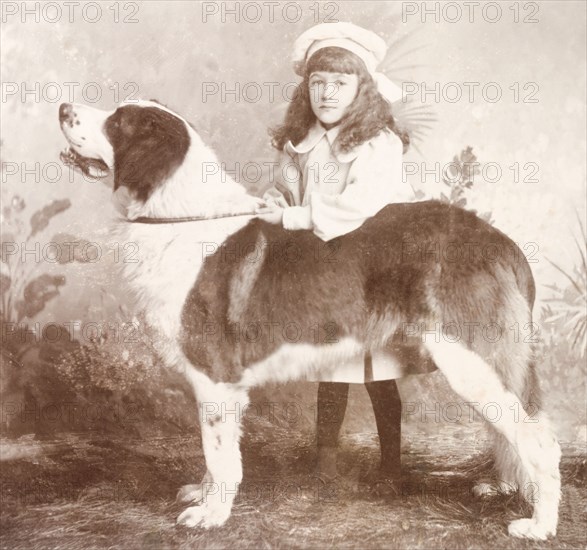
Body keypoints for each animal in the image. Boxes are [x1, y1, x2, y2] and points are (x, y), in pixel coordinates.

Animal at [57, 101, 564, 540]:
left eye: (117, 121)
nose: (63, 108)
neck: (180, 216)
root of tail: (499, 240)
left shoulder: (216, 379)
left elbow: (218, 454)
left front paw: (211, 514)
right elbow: (215, 451)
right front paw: (202, 494)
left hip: (472, 360)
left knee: (539, 439)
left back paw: (539, 524)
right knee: (511, 427)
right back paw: (505, 486)